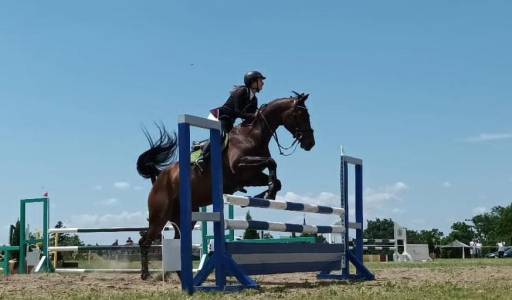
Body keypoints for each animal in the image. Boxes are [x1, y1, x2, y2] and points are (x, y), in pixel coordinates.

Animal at [134, 92, 314, 280]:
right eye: (301, 115)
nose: (310, 143)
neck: (252, 135)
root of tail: (159, 177)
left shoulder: (250, 176)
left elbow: (276, 179)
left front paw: (265, 194)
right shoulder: (239, 166)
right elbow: (272, 162)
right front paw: (267, 194)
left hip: (183, 218)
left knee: (179, 244)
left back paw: (185, 279)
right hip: (159, 216)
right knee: (145, 241)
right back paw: (146, 274)